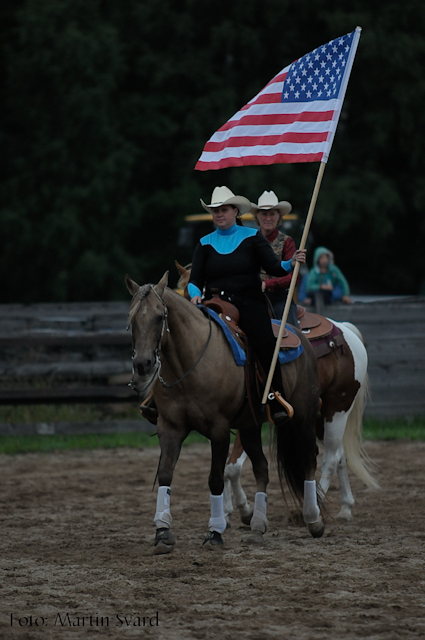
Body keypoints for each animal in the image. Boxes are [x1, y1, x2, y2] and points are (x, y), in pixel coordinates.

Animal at [126, 272, 322, 552]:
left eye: (159, 316)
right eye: (131, 318)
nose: (143, 364)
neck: (190, 362)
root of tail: (299, 333)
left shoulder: (218, 430)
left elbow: (215, 479)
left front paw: (215, 531)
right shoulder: (170, 428)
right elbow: (165, 474)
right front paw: (162, 530)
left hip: (303, 417)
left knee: (308, 460)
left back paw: (313, 519)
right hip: (250, 425)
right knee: (262, 468)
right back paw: (257, 526)